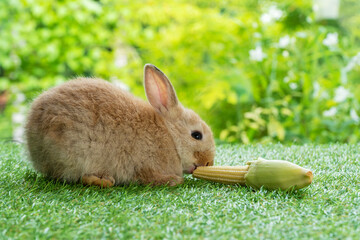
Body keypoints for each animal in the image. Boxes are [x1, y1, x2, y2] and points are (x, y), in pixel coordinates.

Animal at [26, 64, 217, 188]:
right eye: (196, 135)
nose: (209, 162)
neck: (171, 138)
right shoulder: (146, 166)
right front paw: (174, 181)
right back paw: (103, 181)